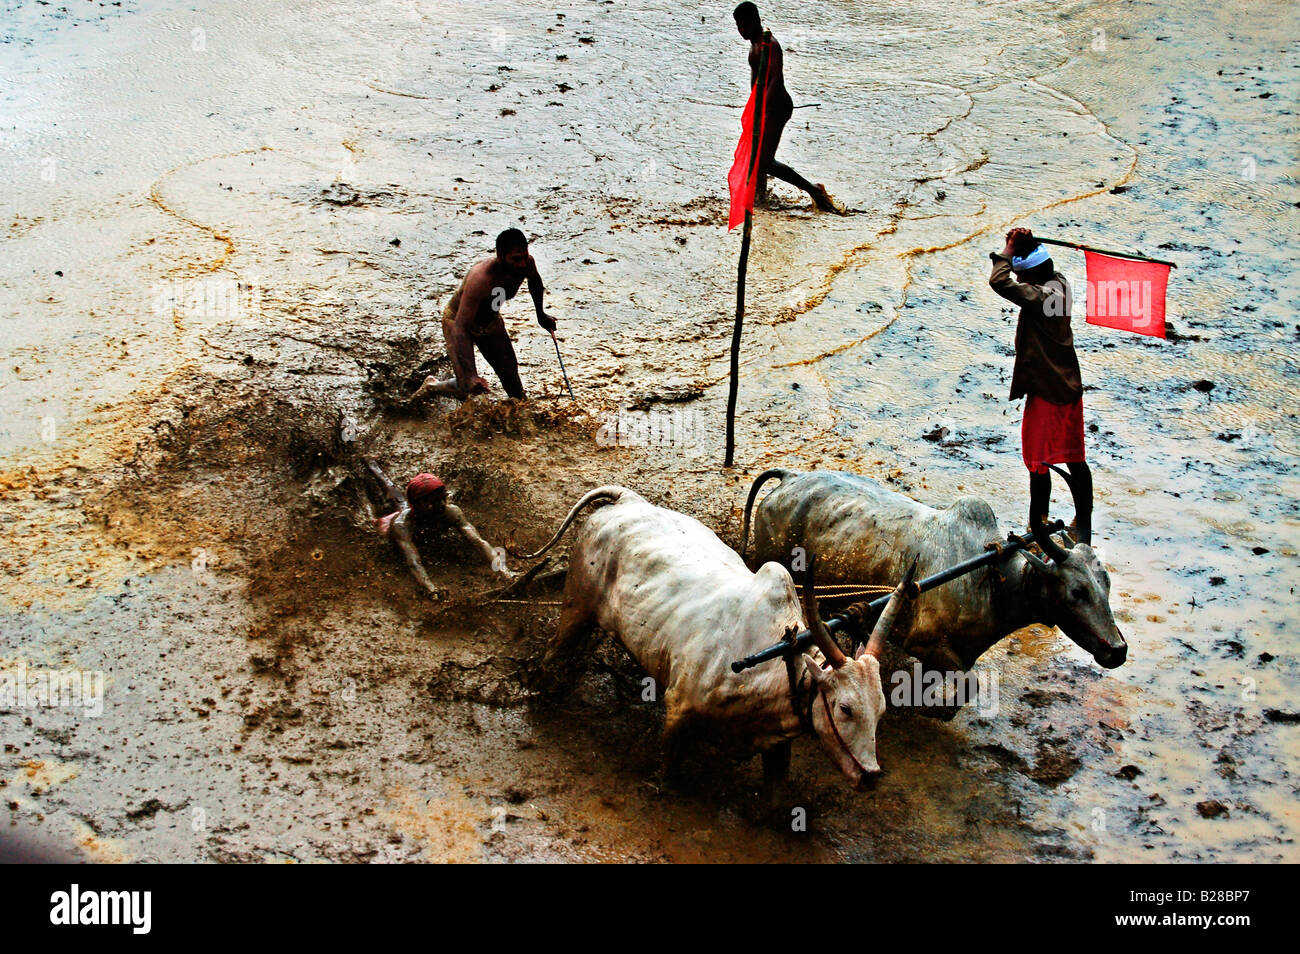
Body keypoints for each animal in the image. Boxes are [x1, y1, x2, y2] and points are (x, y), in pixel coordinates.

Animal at [517, 488, 915, 790]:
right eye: (845, 708)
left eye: (881, 710)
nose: (871, 776)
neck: (779, 660)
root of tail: (628, 500)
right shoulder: (679, 709)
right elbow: (667, 776)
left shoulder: (777, 744)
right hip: (576, 606)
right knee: (554, 652)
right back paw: (541, 696)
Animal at [743, 467, 1128, 681]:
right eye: (1077, 591)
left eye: (1106, 584)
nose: (1118, 650)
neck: (992, 579)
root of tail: (789, 479)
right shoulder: (926, 644)